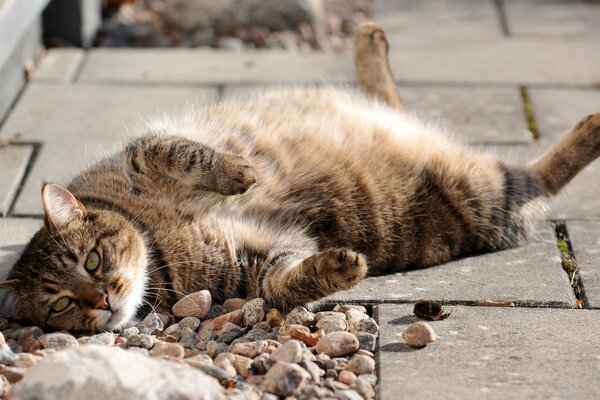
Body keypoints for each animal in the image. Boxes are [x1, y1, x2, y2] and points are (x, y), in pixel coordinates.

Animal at [1, 23, 600, 332]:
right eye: (62, 305)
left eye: (92, 261)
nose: (101, 301)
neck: (157, 241)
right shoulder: (256, 260)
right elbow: (282, 285)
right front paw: (337, 267)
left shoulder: (141, 153)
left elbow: (185, 153)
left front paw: (240, 172)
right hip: (484, 194)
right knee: (538, 178)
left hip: (478, 186)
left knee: (392, 100)